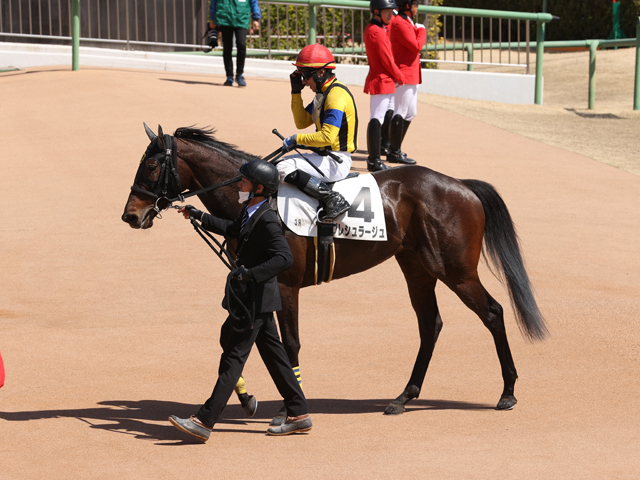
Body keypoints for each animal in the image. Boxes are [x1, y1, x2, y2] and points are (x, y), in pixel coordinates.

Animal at [121, 125, 547, 417]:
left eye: (152, 164)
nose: (130, 215)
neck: (254, 201)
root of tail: (461, 185)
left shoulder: (285, 285)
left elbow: (288, 343)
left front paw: (290, 401)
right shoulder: (254, 283)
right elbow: (242, 339)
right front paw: (247, 396)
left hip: (456, 271)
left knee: (492, 313)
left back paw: (507, 391)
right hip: (418, 269)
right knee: (431, 325)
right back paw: (403, 397)